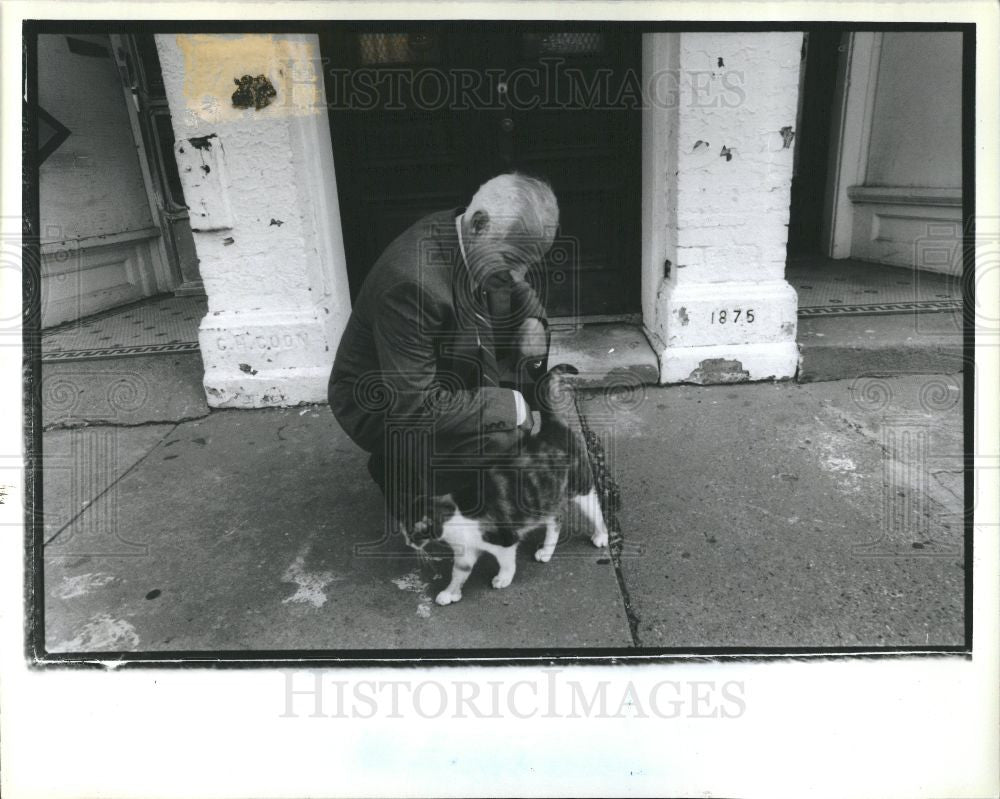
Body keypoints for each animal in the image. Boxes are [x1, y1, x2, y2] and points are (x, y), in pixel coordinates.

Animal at [400, 368, 604, 608]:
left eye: (414, 533)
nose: (408, 543)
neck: (454, 516)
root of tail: (552, 428)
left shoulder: (505, 539)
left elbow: (506, 561)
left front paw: (503, 578)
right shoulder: (466, 551)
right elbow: (459, 572)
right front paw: (451, 592)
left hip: (580, 486)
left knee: (595, 509)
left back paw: (601, 536)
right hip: (545, 496)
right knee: (556, 519)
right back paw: (546, 550)